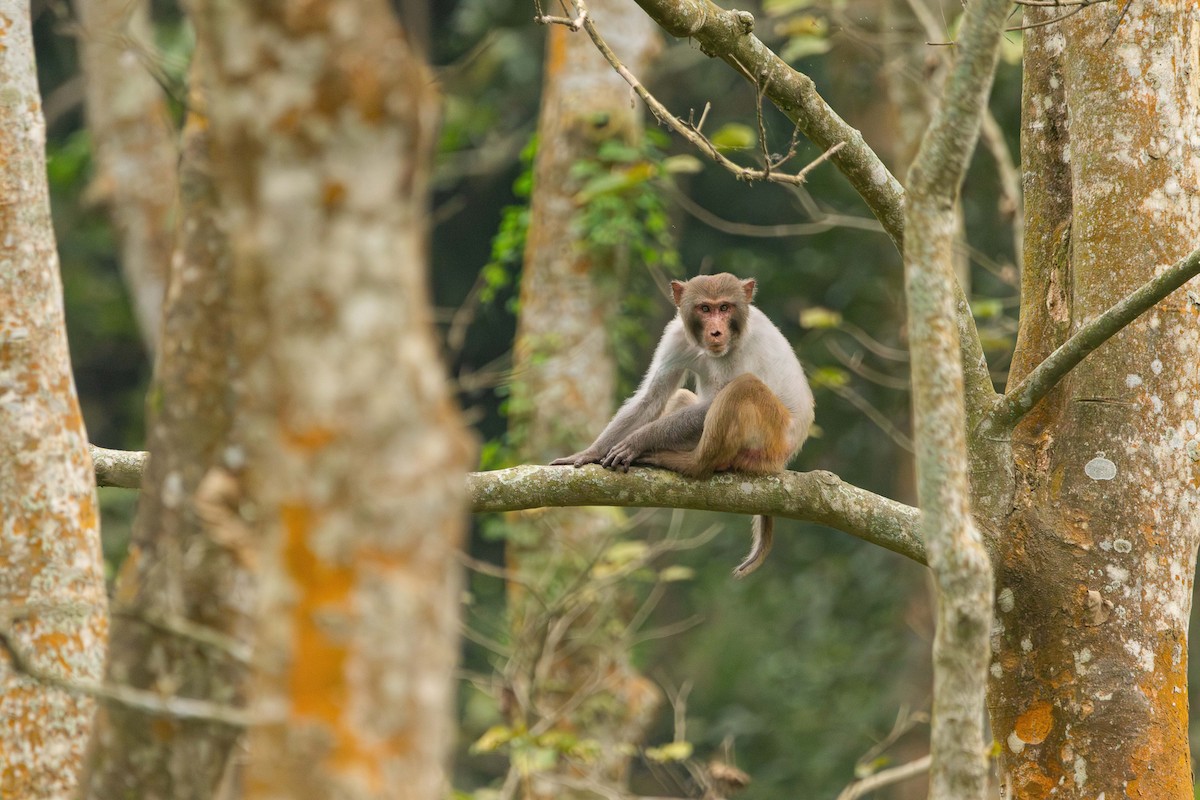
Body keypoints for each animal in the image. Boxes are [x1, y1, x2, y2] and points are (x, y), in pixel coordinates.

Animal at [551, 273, 814, 577]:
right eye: (705, 309)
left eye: (725, 308)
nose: (716, 332)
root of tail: (784, 458)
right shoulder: (675, 336)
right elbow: (652, 398)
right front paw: (591, 452)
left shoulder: (744, 345)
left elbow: (712, 402)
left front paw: (637, 441)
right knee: (681, 398)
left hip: (771, 440)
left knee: (742, 388)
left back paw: (694, 464)